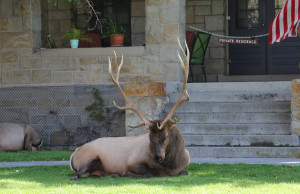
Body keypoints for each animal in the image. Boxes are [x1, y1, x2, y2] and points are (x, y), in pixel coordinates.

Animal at [69, 38, 190, 180]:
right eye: (149, 137)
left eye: (165, 136)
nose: (157, 158)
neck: (174, 165)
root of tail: (73, 154)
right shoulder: (133, 161)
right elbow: (150, 173)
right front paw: (125, 172)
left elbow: (184, 172)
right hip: (88, 158)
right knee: (76, 175)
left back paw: (112, 174)